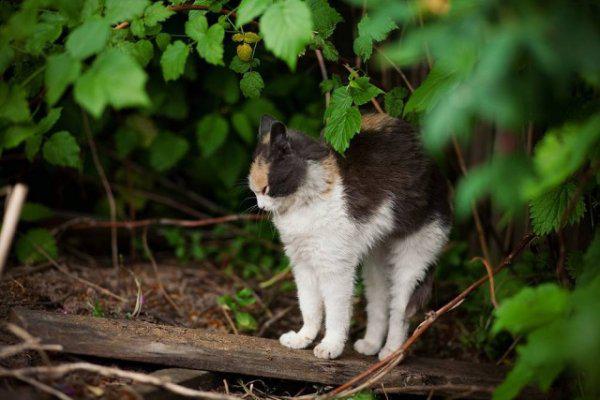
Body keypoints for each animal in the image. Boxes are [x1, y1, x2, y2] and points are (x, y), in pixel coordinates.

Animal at [247, 113, 450, 360]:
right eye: (254, 192)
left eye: (265, 190)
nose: (261, 206)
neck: (304, 203)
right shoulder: (302, 263)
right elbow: (309, 306)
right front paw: (303, 338)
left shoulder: (334, 267)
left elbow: (336, 312)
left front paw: (331, 346)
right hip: (376, 263)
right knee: (379, 302)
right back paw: (371, 344)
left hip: (413, 260)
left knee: (399, 311)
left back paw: (391, 352)